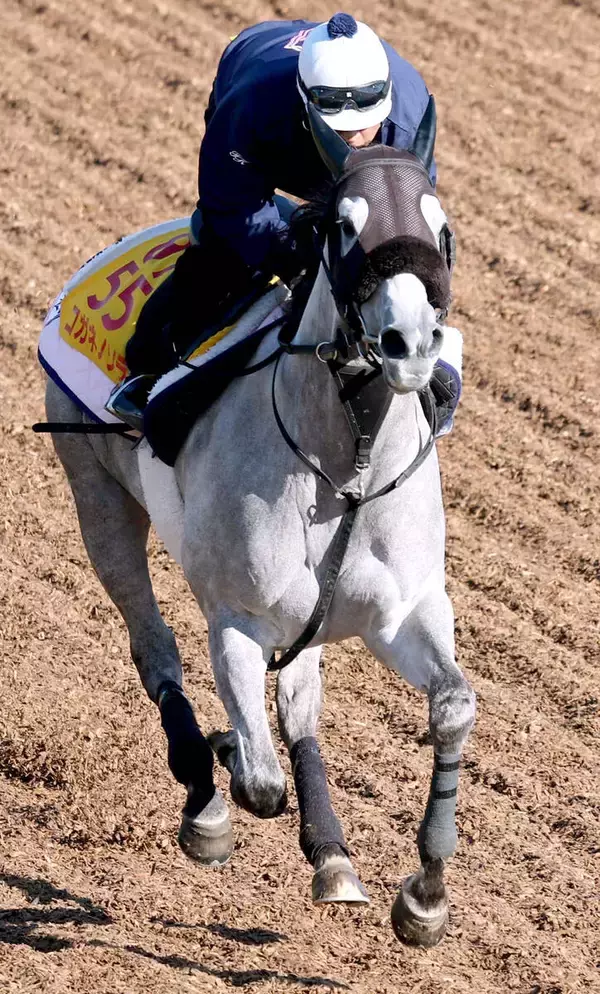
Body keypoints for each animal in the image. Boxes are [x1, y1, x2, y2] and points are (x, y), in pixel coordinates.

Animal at [43, 102, 476, 947]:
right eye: (343, 227)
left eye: (440, 226)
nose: (410, 344)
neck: (346, 468)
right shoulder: (238, 622)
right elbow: (260, 781)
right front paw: (224, 765)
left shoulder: (401, 614)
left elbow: (451, 706)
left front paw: (426, 896)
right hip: (98, 499)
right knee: (155, 647)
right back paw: (205, 792)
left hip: (310, 613)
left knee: (299, 699)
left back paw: (332, 854)